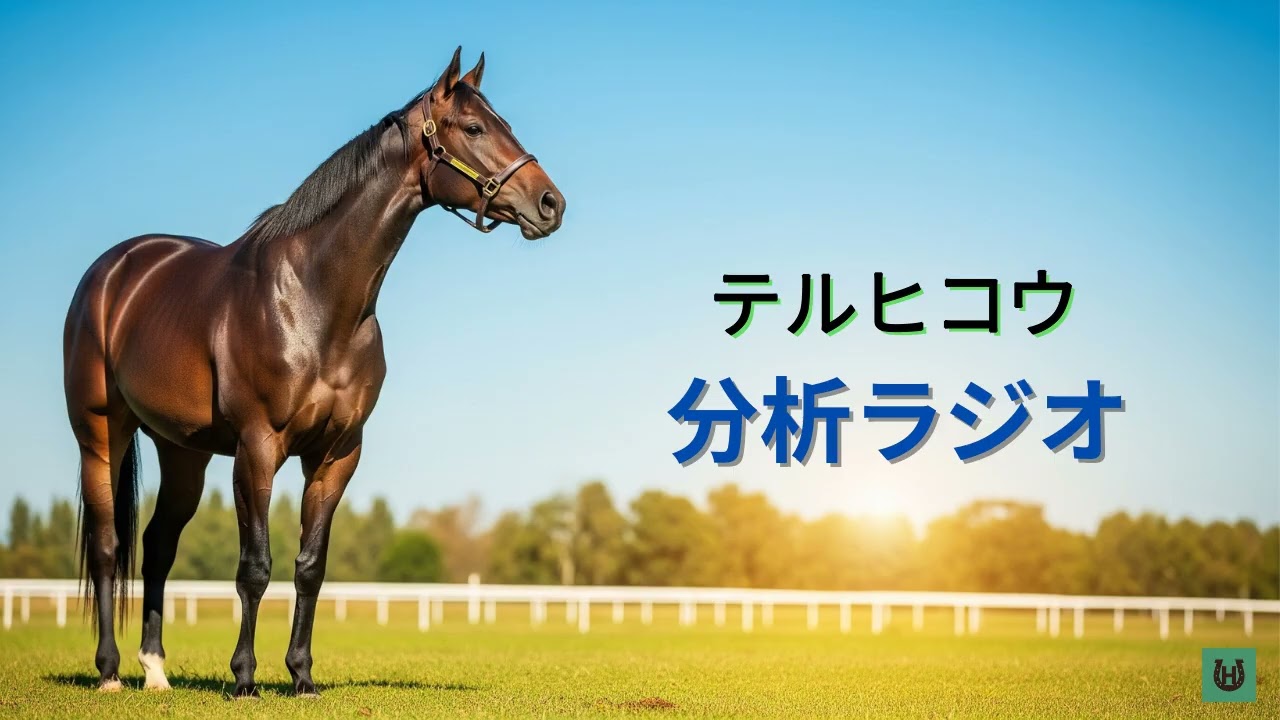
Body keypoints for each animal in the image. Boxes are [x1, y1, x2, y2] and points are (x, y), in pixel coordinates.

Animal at [62, 47, 564, 698]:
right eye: (475, 128)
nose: (550, 203)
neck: (315, 299)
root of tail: (113, 271)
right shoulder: (257, 449)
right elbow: (255, 568)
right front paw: (245, 678)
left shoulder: (336, 454)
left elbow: (310, 567)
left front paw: (301, 675)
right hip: (101, 435)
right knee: (107, 547)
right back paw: (109, 671)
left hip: (184, 453)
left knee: (156, 547)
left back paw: (155, 670)